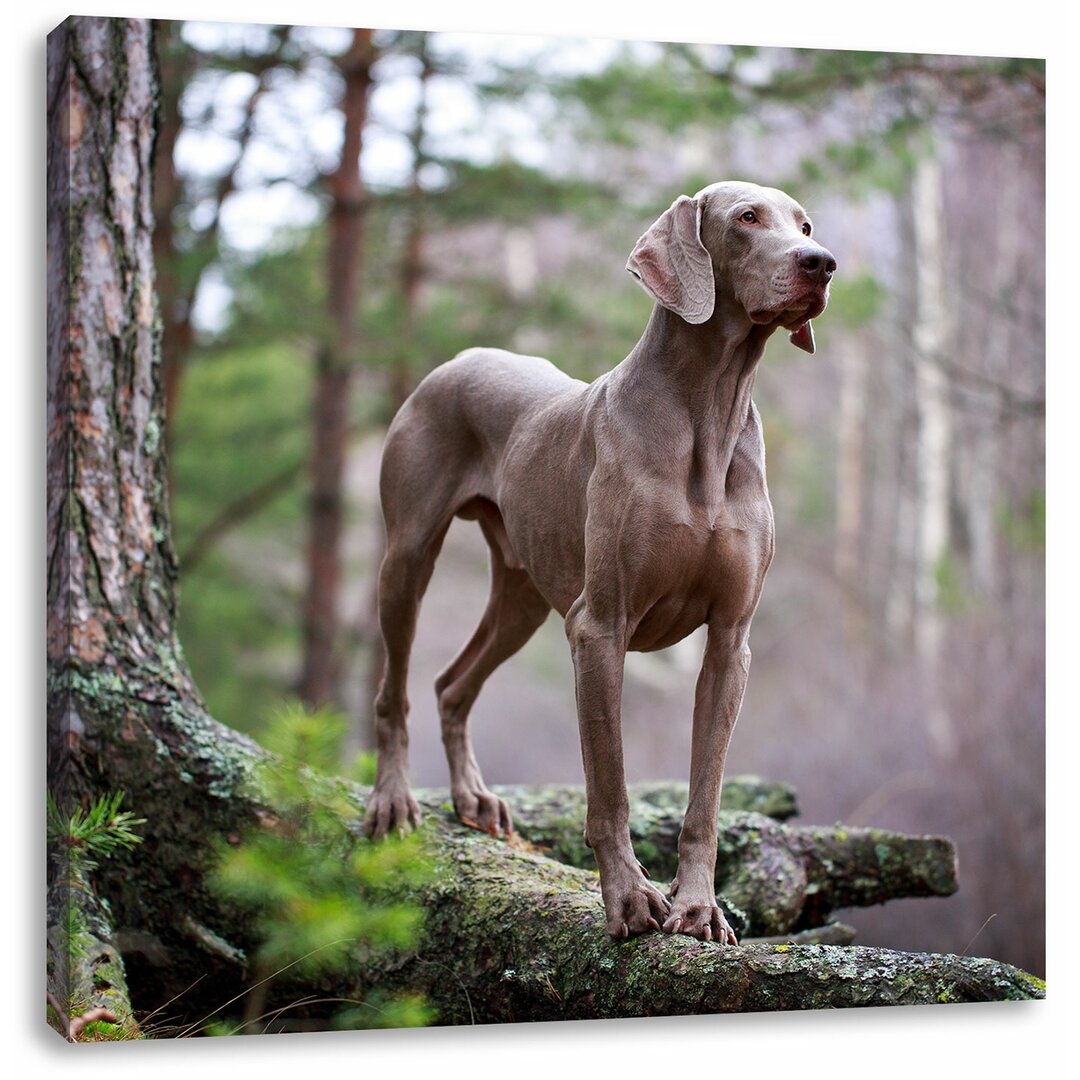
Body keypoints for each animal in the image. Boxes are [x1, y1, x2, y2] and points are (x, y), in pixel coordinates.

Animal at [367, 181, 838, 941]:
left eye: (805, 224)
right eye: (746, 218)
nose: (821, 263)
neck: (709, 412)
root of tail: (458, 357)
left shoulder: (729, 643)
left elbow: (705, 797)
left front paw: (698, 908)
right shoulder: (599, 627)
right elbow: (608, 786)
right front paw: (629, 899)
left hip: (523, 596)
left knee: (450, 684)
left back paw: (473, 797)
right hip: (407, 559)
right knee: (395, 691)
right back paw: (392, 802)